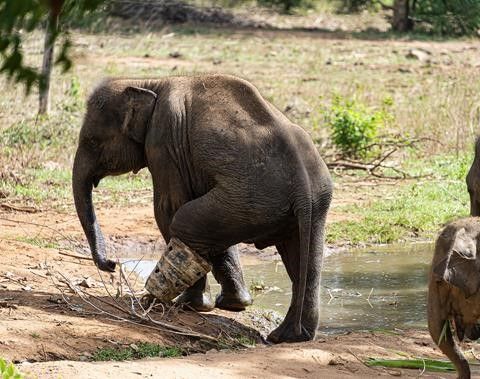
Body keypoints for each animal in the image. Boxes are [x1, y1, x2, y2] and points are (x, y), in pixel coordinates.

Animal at [72, 72, 334, 342]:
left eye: (92, 141)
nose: (112, 264)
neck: (148, 82)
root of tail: (302, 187)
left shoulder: (163, 142)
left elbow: (168, 208)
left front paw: (196, 306)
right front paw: (234, 305)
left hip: (253, 199)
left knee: (185, 223)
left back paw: (159, 300)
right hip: (309, 202)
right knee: (305, 262)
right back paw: (288, 336)